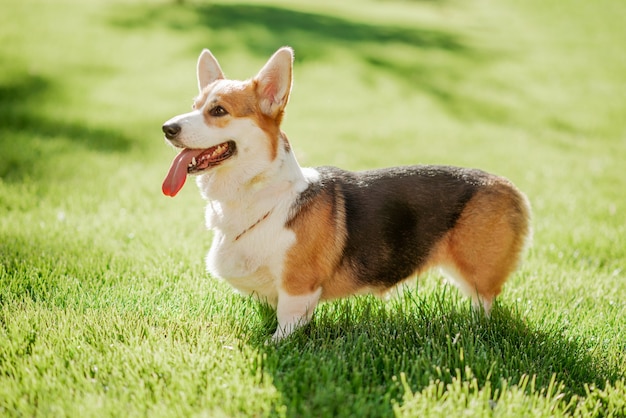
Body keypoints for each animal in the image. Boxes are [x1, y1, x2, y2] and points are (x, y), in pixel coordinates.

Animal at [162, 46, 532, 340]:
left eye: (219, 111)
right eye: (194, 105)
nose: (167, 128)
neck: (260, 195)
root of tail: (510, 187)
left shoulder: (298, 290)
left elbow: (285, 327)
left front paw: (274, 345)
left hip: (477, 272)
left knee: (485, 306)